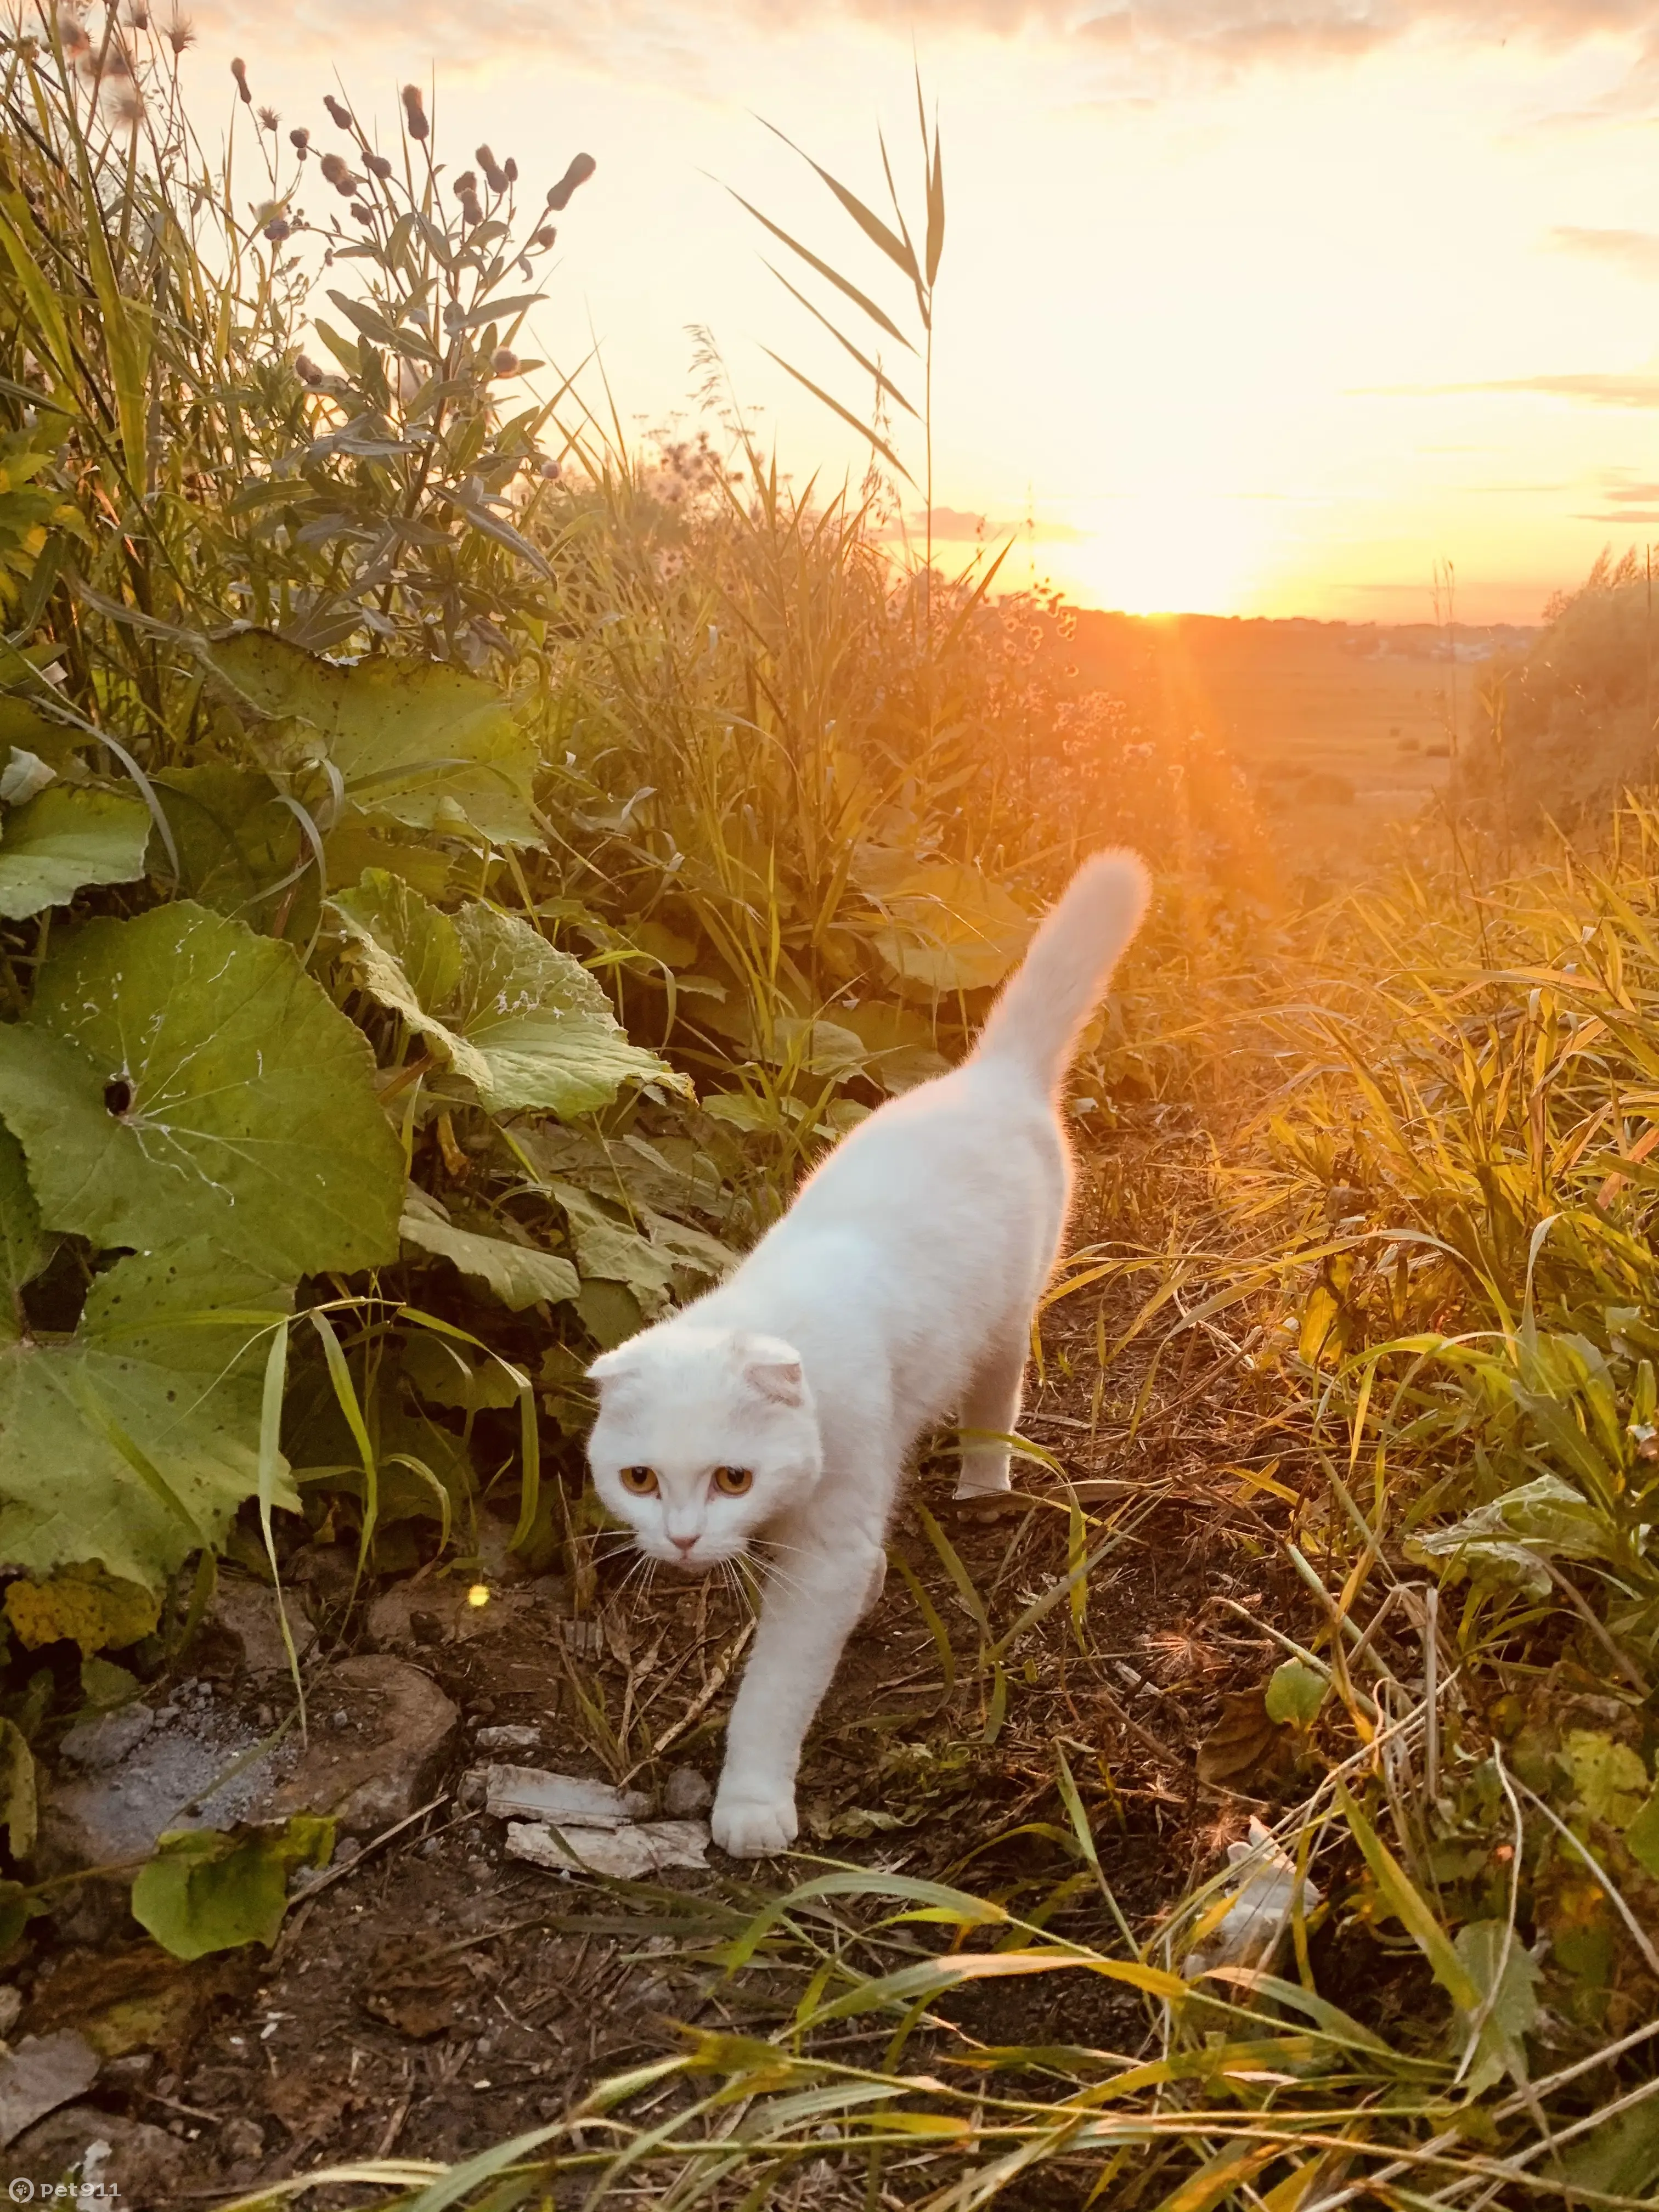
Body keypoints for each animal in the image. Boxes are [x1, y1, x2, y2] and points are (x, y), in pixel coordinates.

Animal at [588, 854, 1159, 1858]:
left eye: (732, 1477)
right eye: (640, 1478)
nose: (683, 1541)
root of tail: (987, 1075)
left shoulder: (825, 1545)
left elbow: (774, 1690)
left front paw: (750, 1804)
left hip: (1005, 1323)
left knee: (995, 1400)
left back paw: (983, 1486)